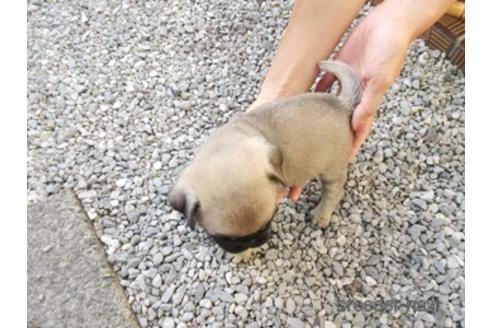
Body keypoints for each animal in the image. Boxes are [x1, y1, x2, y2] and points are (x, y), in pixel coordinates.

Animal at [169, 59, 362, 254]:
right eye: (227, 238)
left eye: (268, 223)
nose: (254, 241)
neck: (223, 147)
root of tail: (340, 104)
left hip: (331, 170)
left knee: (333, 192)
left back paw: (321, 215)